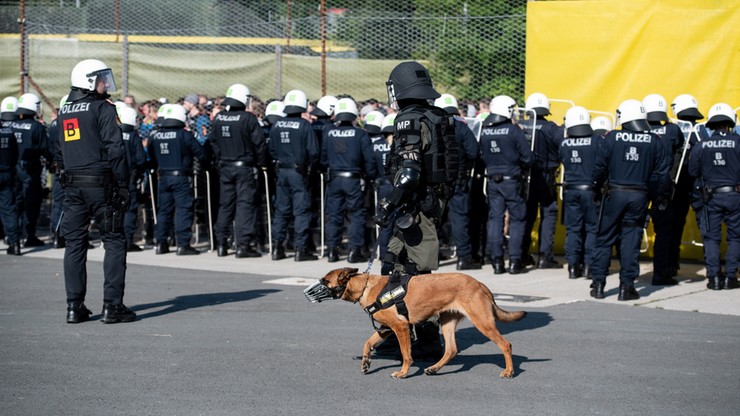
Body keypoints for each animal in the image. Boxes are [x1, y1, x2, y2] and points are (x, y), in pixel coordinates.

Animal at [310, 268, 528, 378]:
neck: (364, 286)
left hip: (483, 323)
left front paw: (403, 373)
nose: (310, 292)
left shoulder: (401, 328)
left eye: (325, 280)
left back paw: (509, 371)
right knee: (451, 350)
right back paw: (434, 369)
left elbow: (406, 354)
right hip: (447, 322)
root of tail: (480, 284)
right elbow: (367, 343)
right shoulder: (386, 329)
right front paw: (365, 362)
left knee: (505, 344)